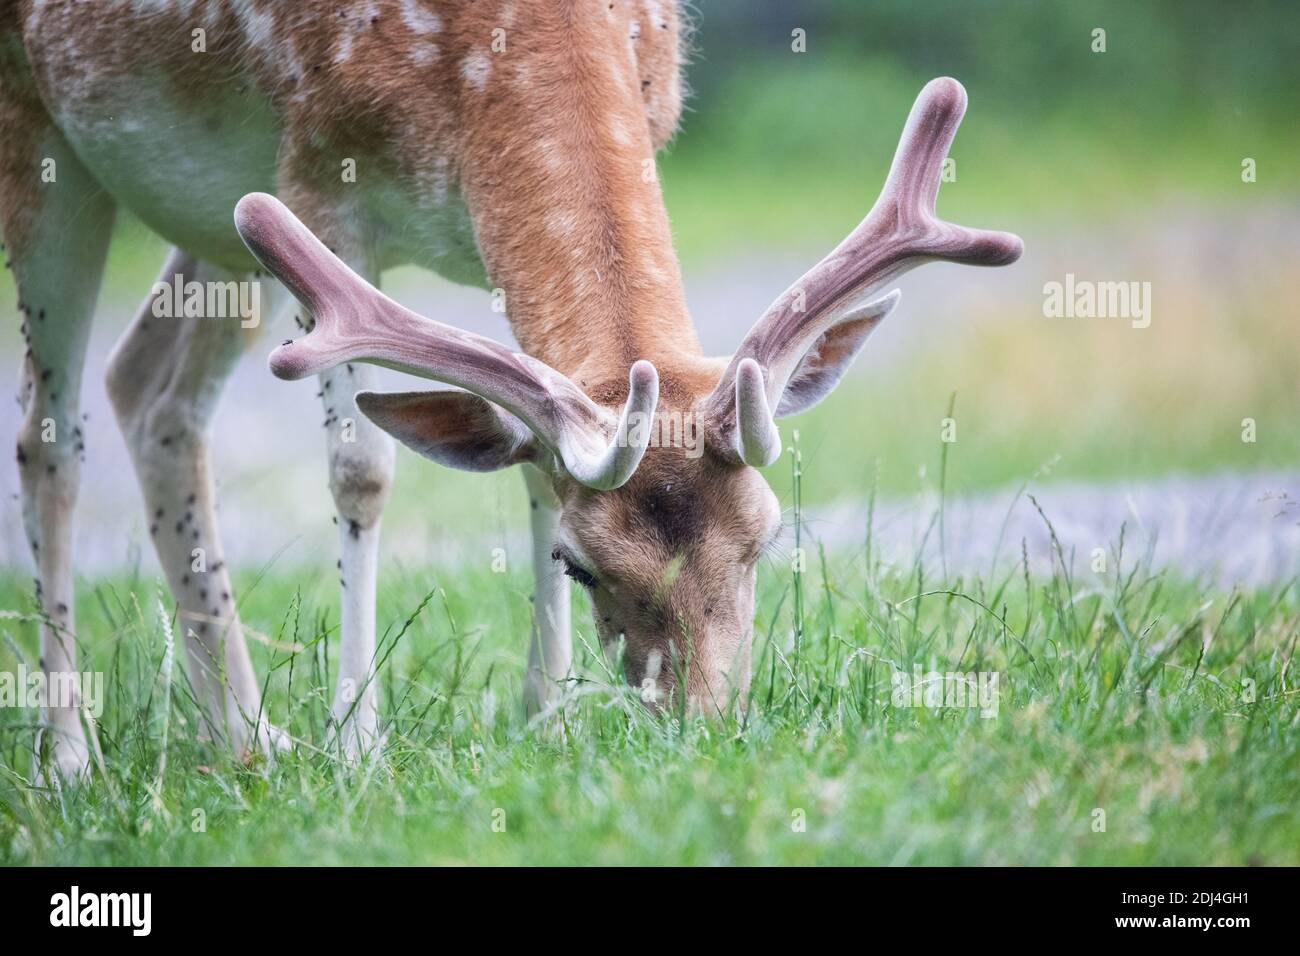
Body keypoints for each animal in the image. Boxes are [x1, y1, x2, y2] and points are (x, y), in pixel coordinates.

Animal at [0, 0, 1019, 780]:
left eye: (767, 538)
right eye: (583, 564)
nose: (704, 729)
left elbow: (532, 463)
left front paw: (548, 715)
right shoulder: (315, 171)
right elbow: (362, 471)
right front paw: (357, 744)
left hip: (216, 225)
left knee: (148, 386)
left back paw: (246, 737)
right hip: (51, 135)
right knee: (48, 434)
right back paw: (71, 756)